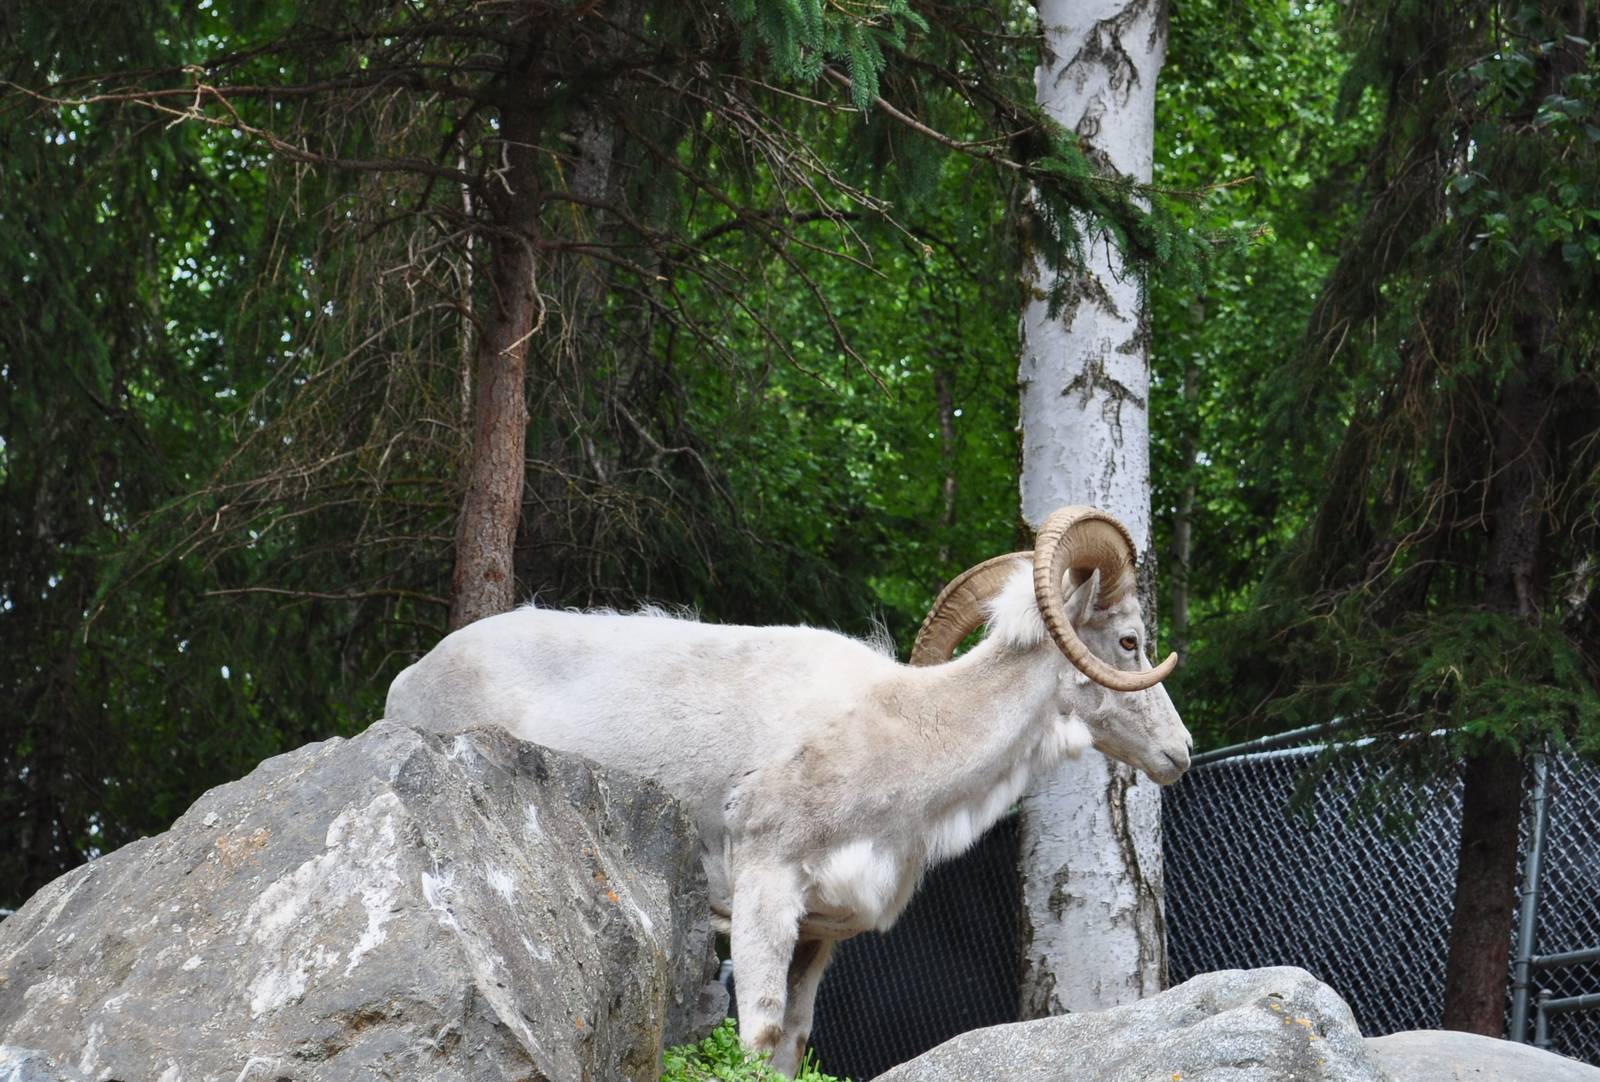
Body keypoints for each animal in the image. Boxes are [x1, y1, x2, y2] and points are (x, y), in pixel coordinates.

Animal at [384, 505, 1191, 1076]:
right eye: (1128, 641)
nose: (1178, 753)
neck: (905, 731)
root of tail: (409, 682)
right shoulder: (764, 887)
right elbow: (759, 1032)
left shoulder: (818, 933)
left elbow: (791, 1043)